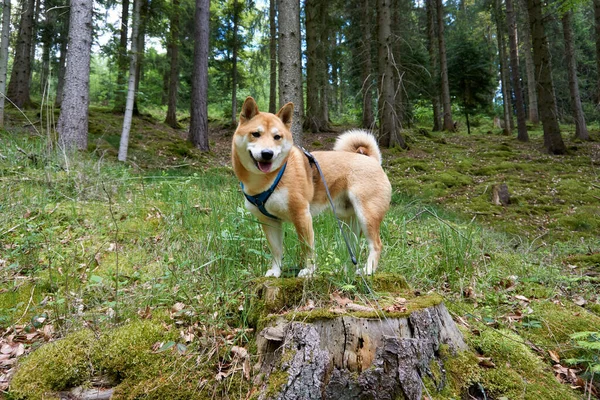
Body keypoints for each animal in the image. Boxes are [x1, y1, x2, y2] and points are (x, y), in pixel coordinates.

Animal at [232, 97, 392, 278]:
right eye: (256, 134)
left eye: (277, 137)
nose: (267, 153)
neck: (268, 179)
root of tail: (372, 159)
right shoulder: (269, 221)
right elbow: (276, 251)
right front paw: (275, 271)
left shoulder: (301, 215)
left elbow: (307, 249)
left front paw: (308, 271)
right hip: (348, 222)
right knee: (353, 248)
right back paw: (344, 270)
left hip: (367, 215)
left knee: (376, 244)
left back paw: (368, 270)